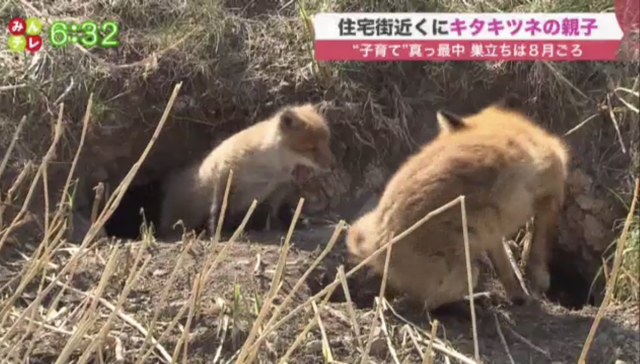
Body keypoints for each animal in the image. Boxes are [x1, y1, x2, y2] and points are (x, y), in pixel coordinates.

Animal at [158, 103, 332, 239]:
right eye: (312, 148)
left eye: (326, 143)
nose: (332, 165)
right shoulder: (226, 176)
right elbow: (219, 209)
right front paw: (218, 232)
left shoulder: (277, 191)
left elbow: (281, 212)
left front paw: (292, 224)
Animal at [344, 99, 568, 310]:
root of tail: (378, 241)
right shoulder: (547, 193)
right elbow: (537, 243)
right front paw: (538, 280)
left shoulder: (494, 231)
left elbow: (505, 266)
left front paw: (519, 295)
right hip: (466, 272)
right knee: (430, 304)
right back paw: (473, 301)